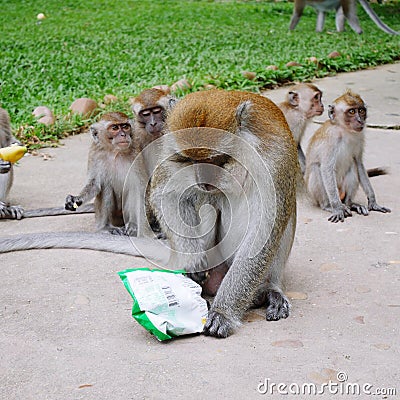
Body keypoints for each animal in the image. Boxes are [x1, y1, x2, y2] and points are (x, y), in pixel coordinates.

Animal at [0, 90, 298, 338]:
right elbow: (166, 193)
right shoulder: (170, 148)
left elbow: (264, 232)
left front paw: (223, 313)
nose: (202, 179)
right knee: (201, 201)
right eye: (188, 159)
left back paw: (268, 291)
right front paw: (193, 262)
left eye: (215, 160)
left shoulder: (273, 160)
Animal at [306, 88, 390, 223]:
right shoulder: (330, 139)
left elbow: (359, 164)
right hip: (316, 195)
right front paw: (337, 208)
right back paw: (329, 205)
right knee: (316, 169)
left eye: (361, 111)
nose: (360, 120)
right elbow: (326, 169)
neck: (344, 130)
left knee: (353, 167)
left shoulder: (360, 137)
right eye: (351, 111)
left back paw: (351, 204)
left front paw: (372, 201)